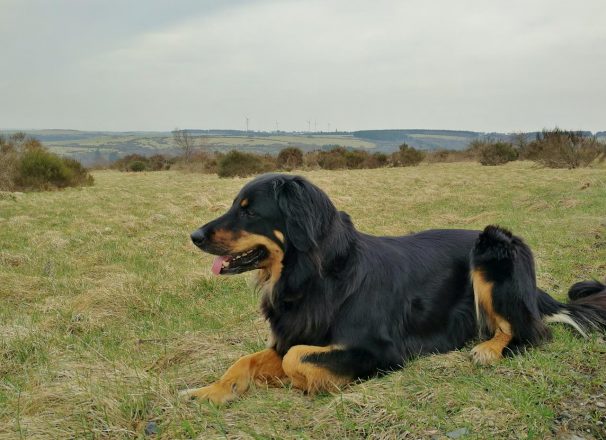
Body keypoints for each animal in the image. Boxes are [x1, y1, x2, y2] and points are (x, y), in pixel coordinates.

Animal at [183, 174, 606, 404]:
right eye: (235, 205)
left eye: (250, 210)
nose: (194, 236)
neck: (317, 276)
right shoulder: (291, 333)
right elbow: (247, 360)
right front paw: (209, 391)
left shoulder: (380, 350)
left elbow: (296, 358)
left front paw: (310, 383)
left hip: (491, 250)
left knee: (528, 331)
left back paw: (488, 348)